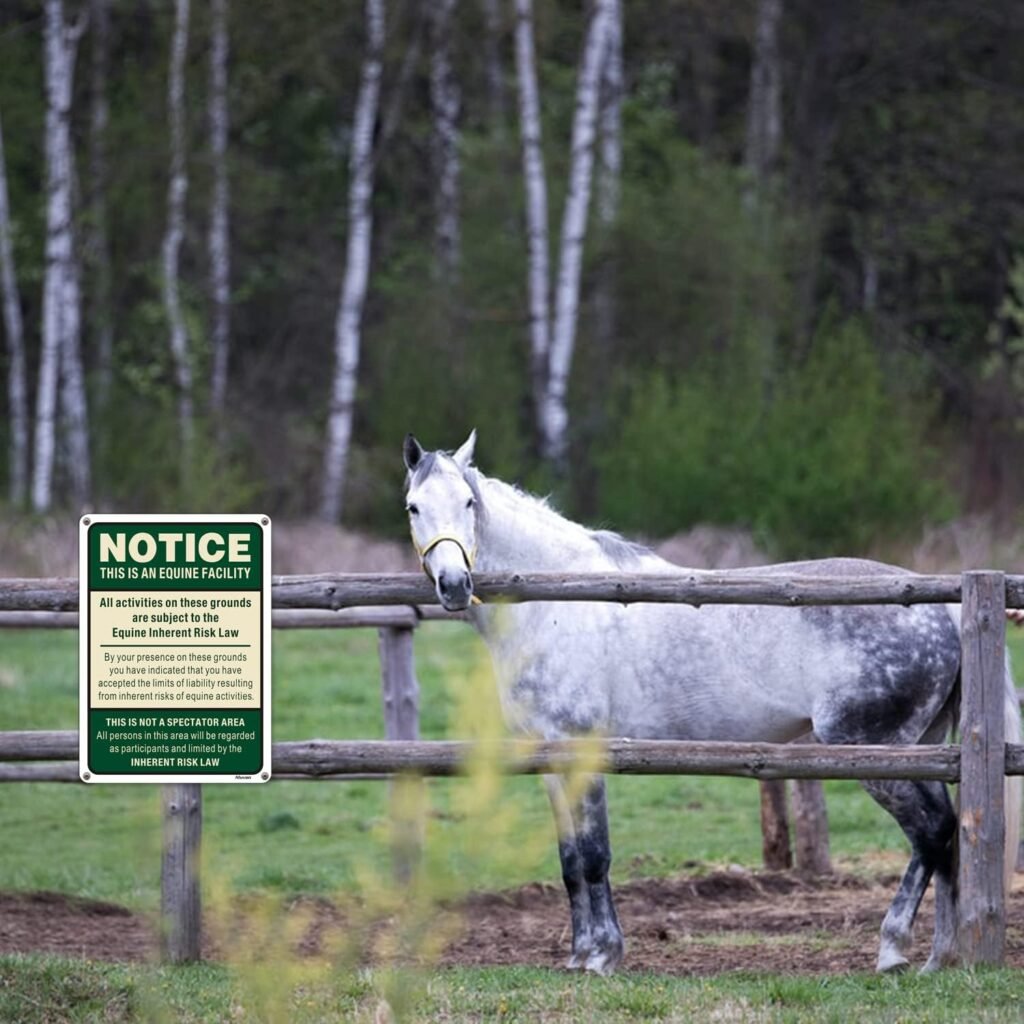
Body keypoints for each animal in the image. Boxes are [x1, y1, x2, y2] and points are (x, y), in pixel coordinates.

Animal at [403, 432, 1019, 974]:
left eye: (468, 502)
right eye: (413, 507)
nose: (454, 584)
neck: (557, 604)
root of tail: (945, 608)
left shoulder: (583, 751)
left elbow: (596, 856)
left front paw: (602, 957)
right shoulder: (552, 762)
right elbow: (571, 862)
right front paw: (579, 956)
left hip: (873, 752)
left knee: (932, 831)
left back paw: (896, 951)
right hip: (920, 749)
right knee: (943, 836)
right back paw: (939, 956)